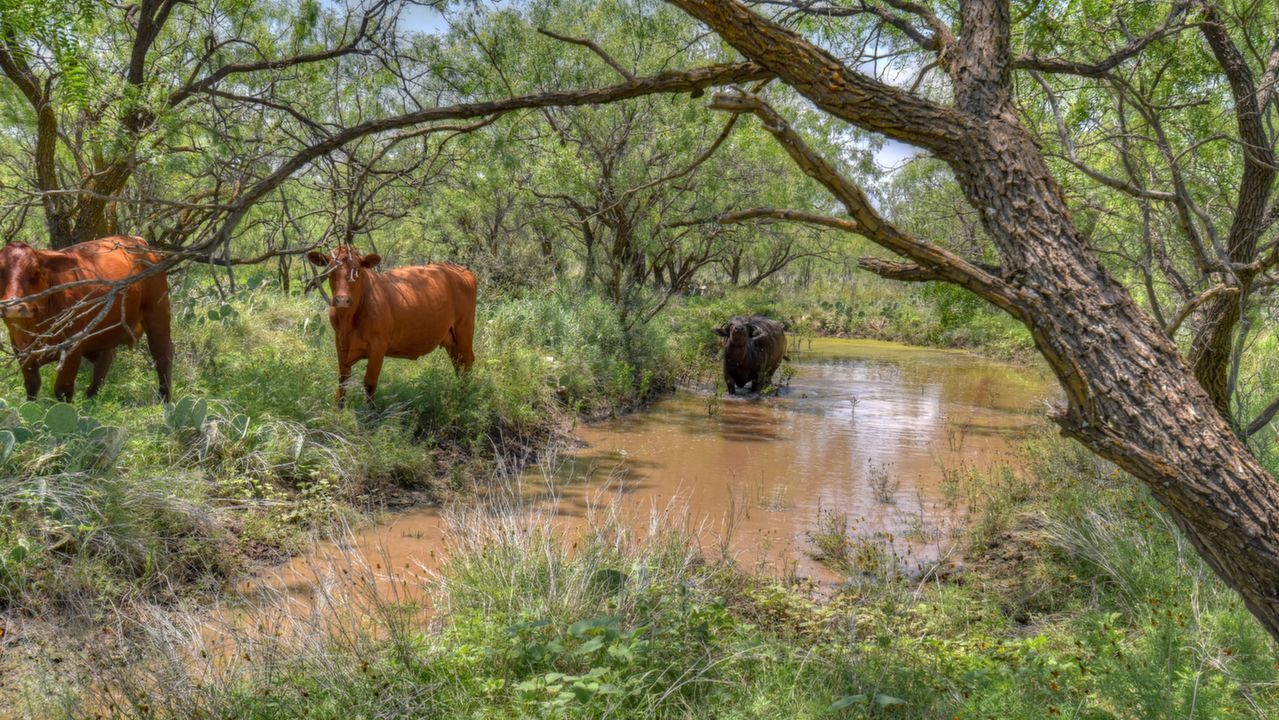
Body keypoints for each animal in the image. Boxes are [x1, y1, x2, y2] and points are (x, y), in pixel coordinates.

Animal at [0, 239, 172, 404]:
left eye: (36, 271)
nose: (13, 307)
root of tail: (139, 241)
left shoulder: (72, 347)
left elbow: (62, 390)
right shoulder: (20, 349)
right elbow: (32, 387)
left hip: (158, 313)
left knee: (162, 354)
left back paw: (165, 399)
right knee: (104, 361)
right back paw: (91, 397)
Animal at [306, 246, 478, 406]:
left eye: (358, 271)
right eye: (331, 270)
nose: (342, 299)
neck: (347, 322)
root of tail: (460, 270)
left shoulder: (378, 346)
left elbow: (369, 383)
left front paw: (370, 415)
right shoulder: (340, 343)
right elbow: (343, 380)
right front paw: (338, 411)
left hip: (464, 328)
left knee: (467, 362)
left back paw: (465, 399)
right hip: (451, 339)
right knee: (458, 365)